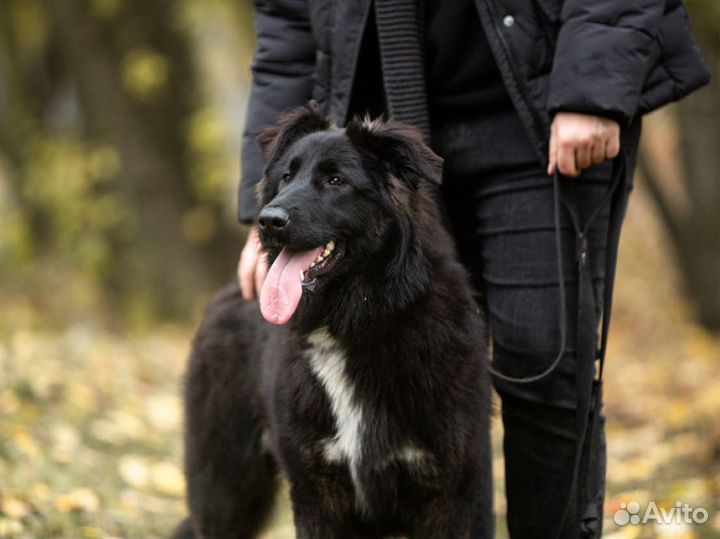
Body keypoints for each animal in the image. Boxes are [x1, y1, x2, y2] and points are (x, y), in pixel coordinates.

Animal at [174, 106, 490, 539]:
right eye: (286, 176)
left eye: (336, 180)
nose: (267, 222)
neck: (356, 323)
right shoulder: (317, 494)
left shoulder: (445, 497)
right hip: (224, 491)